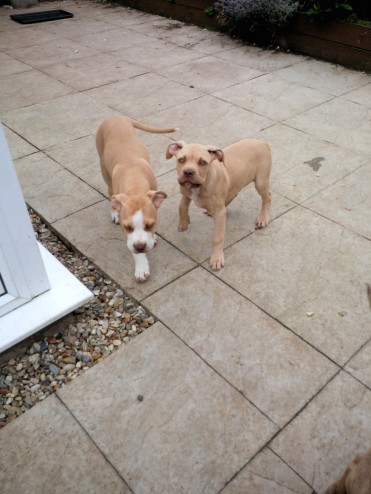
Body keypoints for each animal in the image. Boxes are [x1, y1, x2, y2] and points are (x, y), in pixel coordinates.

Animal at [97, 115, 176, 282]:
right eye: (127, 227)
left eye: (150, 225)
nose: (140, 247)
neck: (135, 184)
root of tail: (115, 116)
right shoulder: (128, 235)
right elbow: (133, 249)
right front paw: (141, 267)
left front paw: (153, 238)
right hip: (104, 170)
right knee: (110, 194)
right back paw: (114, 212)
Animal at [167, 138, 272, 270]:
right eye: (181, 159)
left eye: (203, 162)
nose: (188, 172)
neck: (201, 185)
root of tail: (262, 142)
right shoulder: (186, 192)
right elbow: (181, 206)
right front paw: (184, 223)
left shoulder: (220, 213)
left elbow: (217, 237)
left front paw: (217, 258)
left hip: (260, 182)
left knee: (268, 197)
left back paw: (263, 218)